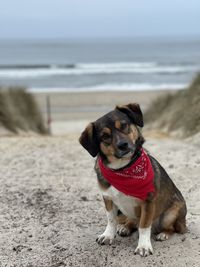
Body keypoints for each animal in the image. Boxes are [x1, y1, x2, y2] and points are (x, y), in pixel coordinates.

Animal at [79, 103, 187, 258]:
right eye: (105, 136)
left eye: (124, 125)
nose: (123, 145)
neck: (122, 169)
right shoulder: (108, 198)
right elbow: (111, 219)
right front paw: (108, 235)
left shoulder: (148, 202)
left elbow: (144, 226)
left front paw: (143, 246)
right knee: (132, 221)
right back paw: (125, 227)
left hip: (171, 214)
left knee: (170, 228)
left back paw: (163, 234)